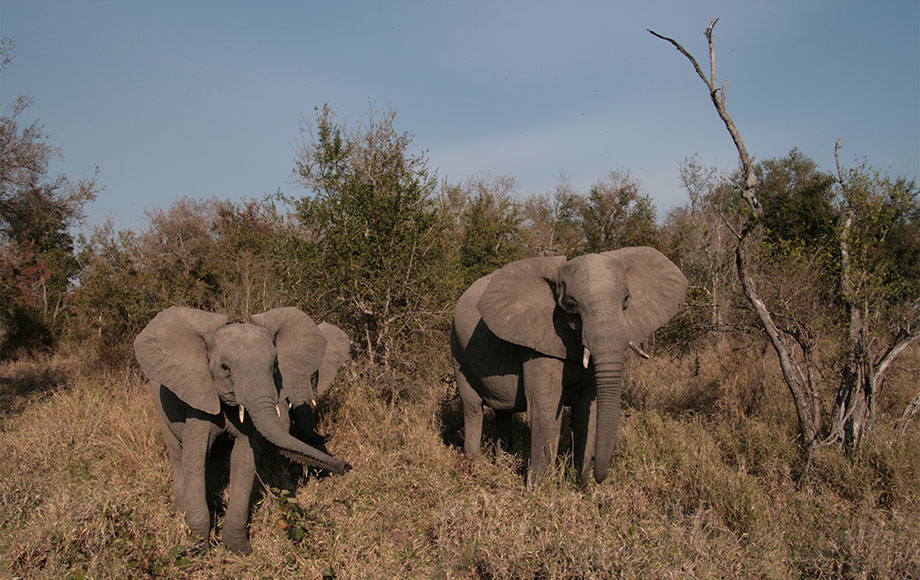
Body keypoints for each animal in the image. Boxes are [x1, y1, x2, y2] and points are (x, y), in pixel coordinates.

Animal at [134, 306, 352, 556]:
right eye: (225, 368)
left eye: (275, 364)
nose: (346, 466)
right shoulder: (198, 399)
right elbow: (194, 457)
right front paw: (197, 549)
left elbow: (245, 459)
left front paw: (239, 550)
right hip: (161, 406)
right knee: (179, 456)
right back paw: (180, 511)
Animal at [450, 247, 688, 488]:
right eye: (572, 305)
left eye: (626, 300)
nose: (598, 479)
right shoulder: (538, 345)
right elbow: (545, 414)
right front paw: (538, 490)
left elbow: (587, 415)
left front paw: (580, 485)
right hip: (457, 350)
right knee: (473, 409)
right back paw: (476, 469)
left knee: (503, 413)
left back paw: (500, 466)